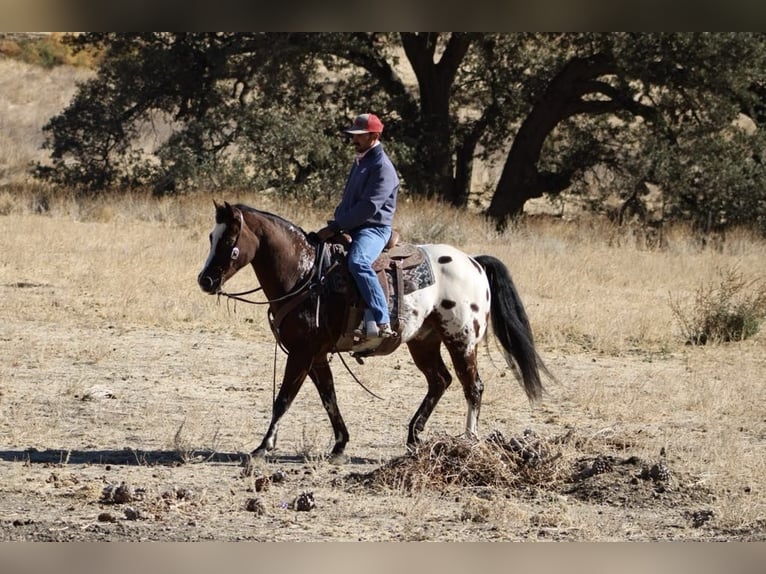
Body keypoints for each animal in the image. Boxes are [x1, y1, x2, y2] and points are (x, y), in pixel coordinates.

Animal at [197, 201, 553, 461]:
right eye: (211, 238)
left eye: (228, 240)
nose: (205, 280)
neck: (306, 275)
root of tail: (474, 262)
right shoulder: (316, 355)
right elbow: (329, 397)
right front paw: (340, 444)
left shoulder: (301, 353)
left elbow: (283, 398)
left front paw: (263, 446)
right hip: (423, 342)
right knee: (440, 380)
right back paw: (413, 437)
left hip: (461, 339)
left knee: (473, 387)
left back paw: (468, 441)